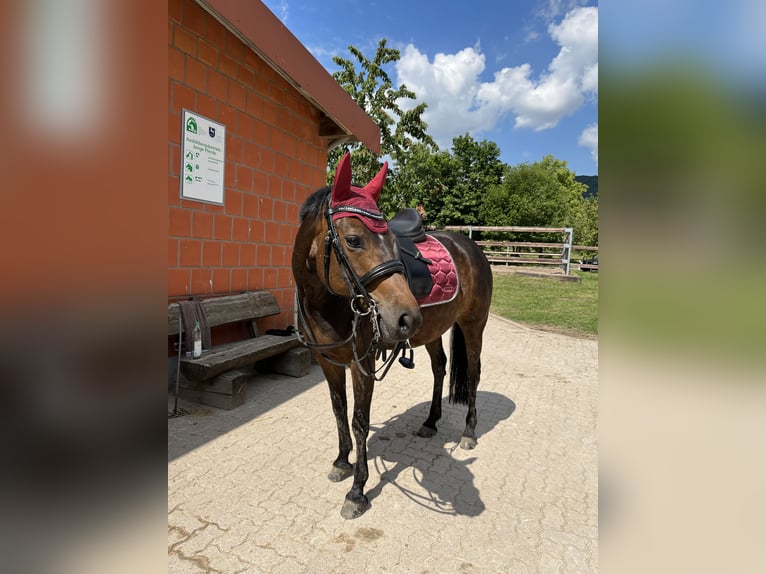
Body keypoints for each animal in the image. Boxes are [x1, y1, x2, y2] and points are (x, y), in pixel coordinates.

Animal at [292, 154, 496, 520]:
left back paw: (469, 432)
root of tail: (471, 245)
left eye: (391, 240)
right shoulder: (327, 362)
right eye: (353, 240)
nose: (407, 315)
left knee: (472, 374)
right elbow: (339, 411)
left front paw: (357, 491)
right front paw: (341, 462)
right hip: (432, 331)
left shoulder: (361, 365)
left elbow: (359, 421)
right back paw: (430, 421)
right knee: (440, 368)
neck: (326, 303)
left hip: (473, 325)